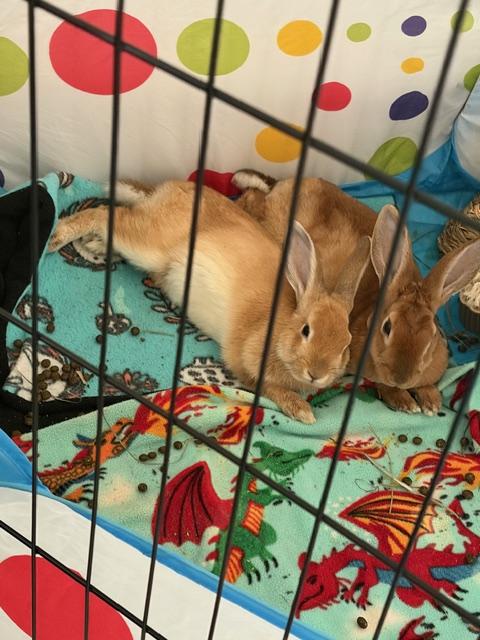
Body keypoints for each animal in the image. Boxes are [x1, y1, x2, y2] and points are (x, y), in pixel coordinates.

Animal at [48, 180, 371, 424]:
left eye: (346, 344)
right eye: (306, 330)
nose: (317, 374)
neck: (281, 329)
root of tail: (171, 187)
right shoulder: (244, 362)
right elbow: (265, 387)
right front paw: (303, 411)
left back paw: (94, 245)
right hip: (148, 243)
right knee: (105, 213)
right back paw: (58, 237)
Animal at [232, 170, 480, 415]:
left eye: (434, 334)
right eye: (387, 327)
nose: (400, 378)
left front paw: (431, 401)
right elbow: (379, 384)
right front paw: (404, 401)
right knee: (251, 198)